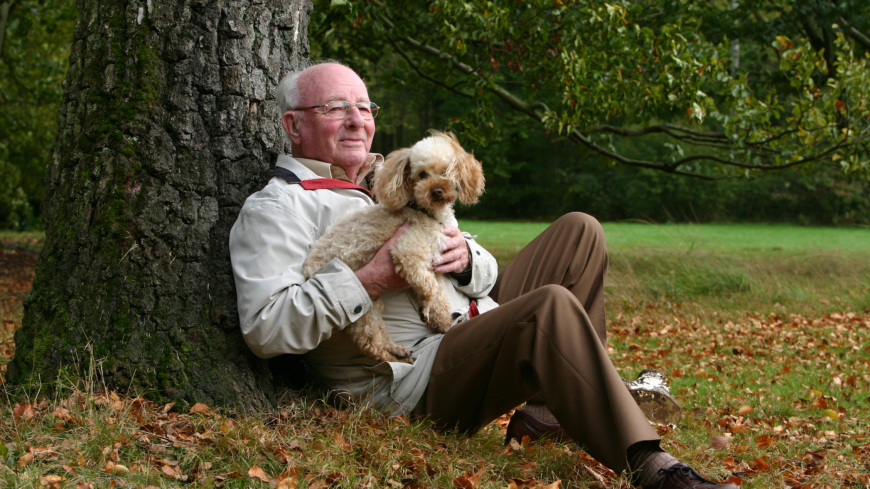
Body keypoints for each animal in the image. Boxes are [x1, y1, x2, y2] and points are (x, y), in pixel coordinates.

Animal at [304, 130, 488, 362]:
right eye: (422, 175)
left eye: (446, 172)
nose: (437, 191)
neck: (424, 212)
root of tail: (307, 271)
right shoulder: (408, 254)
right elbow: (430, 289)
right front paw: (427, 309)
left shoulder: (433, 264)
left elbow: (439, 297)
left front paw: (445, 324)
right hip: (360, 308)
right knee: (370, 343)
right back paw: (391, 357)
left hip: (372, 302)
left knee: (380, 332)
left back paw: (398, 349)